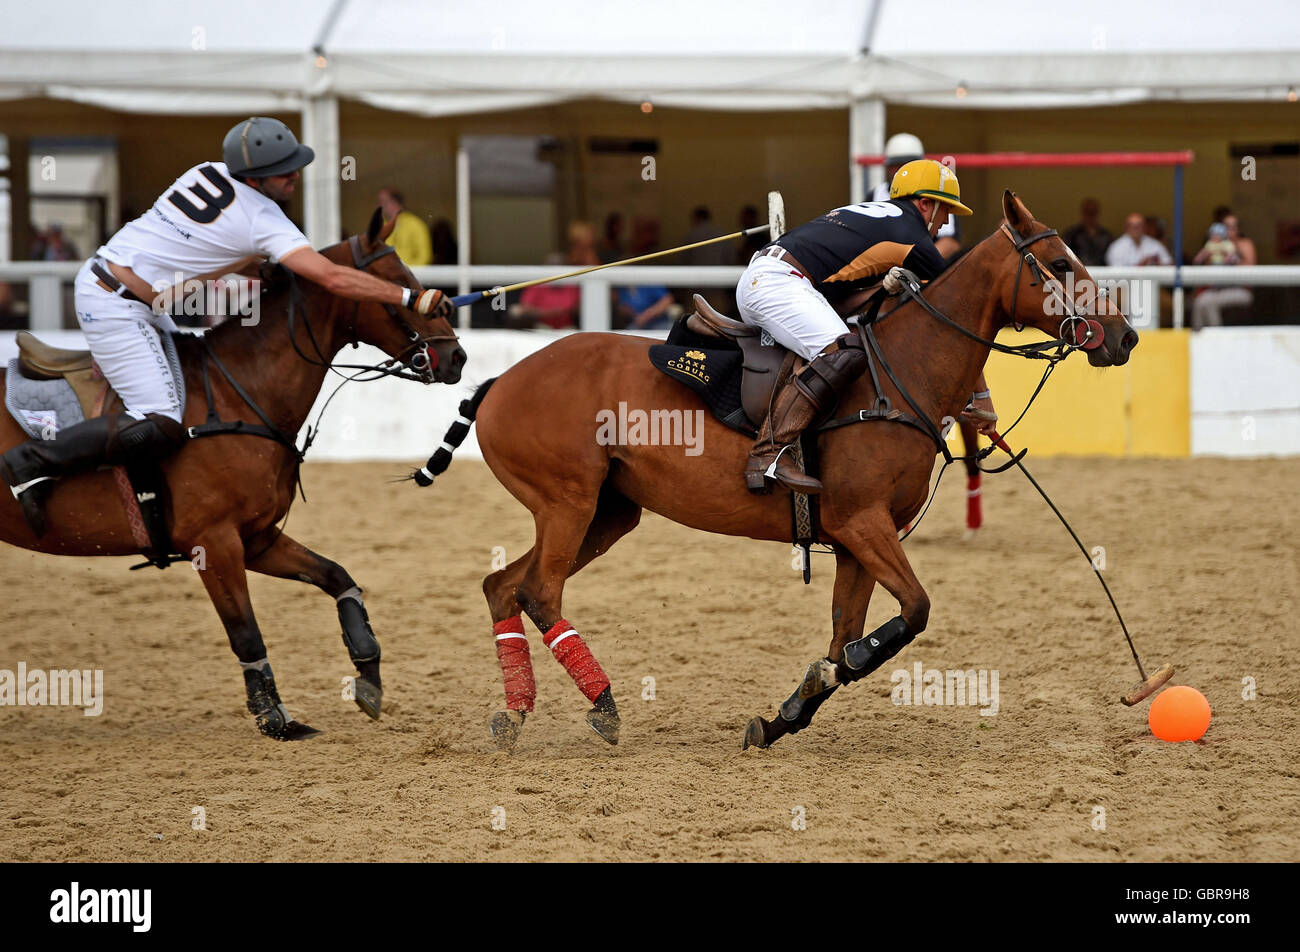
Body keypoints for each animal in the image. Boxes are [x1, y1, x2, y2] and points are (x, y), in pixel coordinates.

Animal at [0, 211, 467, 738]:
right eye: (399, 284)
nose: (457, 357)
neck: (237, 393)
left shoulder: (256, 536)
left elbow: (336, 576)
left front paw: (367, 671)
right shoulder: (213, 542)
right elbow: (246, 632)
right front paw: (275, 717)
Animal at [431, 189, 1133, 749]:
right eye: (1062, 264)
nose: (1124, 337)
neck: (902, 373)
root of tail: (498, 382)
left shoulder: (853, 540)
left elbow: (845, 635)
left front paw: (782, 716)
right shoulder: (861, 520)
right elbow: (912, 611)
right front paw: (824, 681)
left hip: (607, 512)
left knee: (503, 586)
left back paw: (514, 715)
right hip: (567, 501)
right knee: (538, 590)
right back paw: (603, 706)